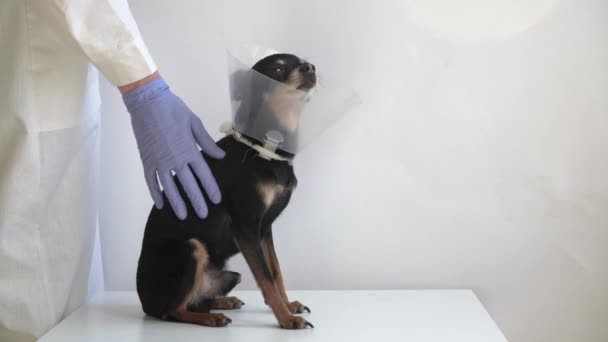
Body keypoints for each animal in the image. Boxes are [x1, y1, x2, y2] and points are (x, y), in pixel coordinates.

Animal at [138, 52, 318, 328]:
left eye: (303, 61)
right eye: (277, 70)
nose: (311, 67)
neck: (264, 150)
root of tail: (145, 304)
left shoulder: (264, 230)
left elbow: (276, 271)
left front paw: (288, 306)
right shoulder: (246, 228)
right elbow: (266, 278)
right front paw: (286, 319)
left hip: (230, 275)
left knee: (195, 300)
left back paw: (223, 302)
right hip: (191, 248)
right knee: (173, 311)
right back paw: (210, 318)